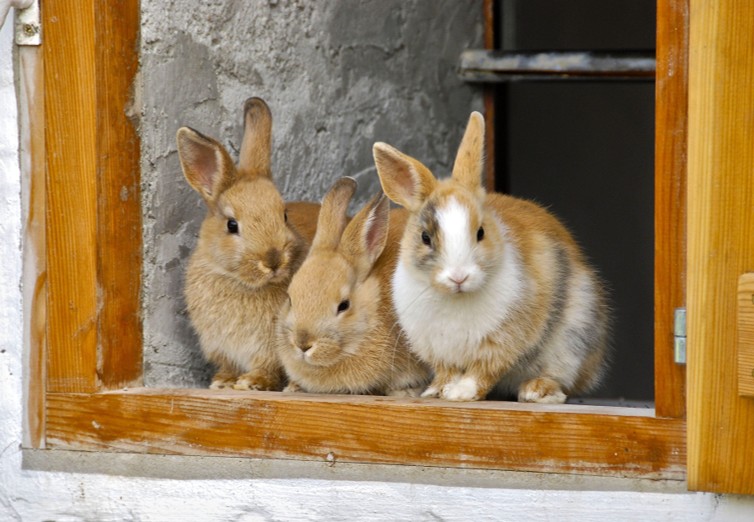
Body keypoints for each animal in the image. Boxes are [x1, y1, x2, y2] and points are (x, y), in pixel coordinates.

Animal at [177, 97, 320, 391]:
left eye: (284, 215)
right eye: (232, 225)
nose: (273, 260)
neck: (241, 283)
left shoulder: (270, 348)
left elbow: (268, 367)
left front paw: (252, 382)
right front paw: (223, 382)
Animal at [372, 111, 610, 403]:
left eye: (481, 232)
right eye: (425, 237)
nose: (459, 277)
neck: (456, 298)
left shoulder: (501, 341)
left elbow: (483, 370)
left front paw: (461, 393)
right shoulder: (437, 349)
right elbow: (447, 372)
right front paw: (436, 392)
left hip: (573, 339)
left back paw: (536, 391)